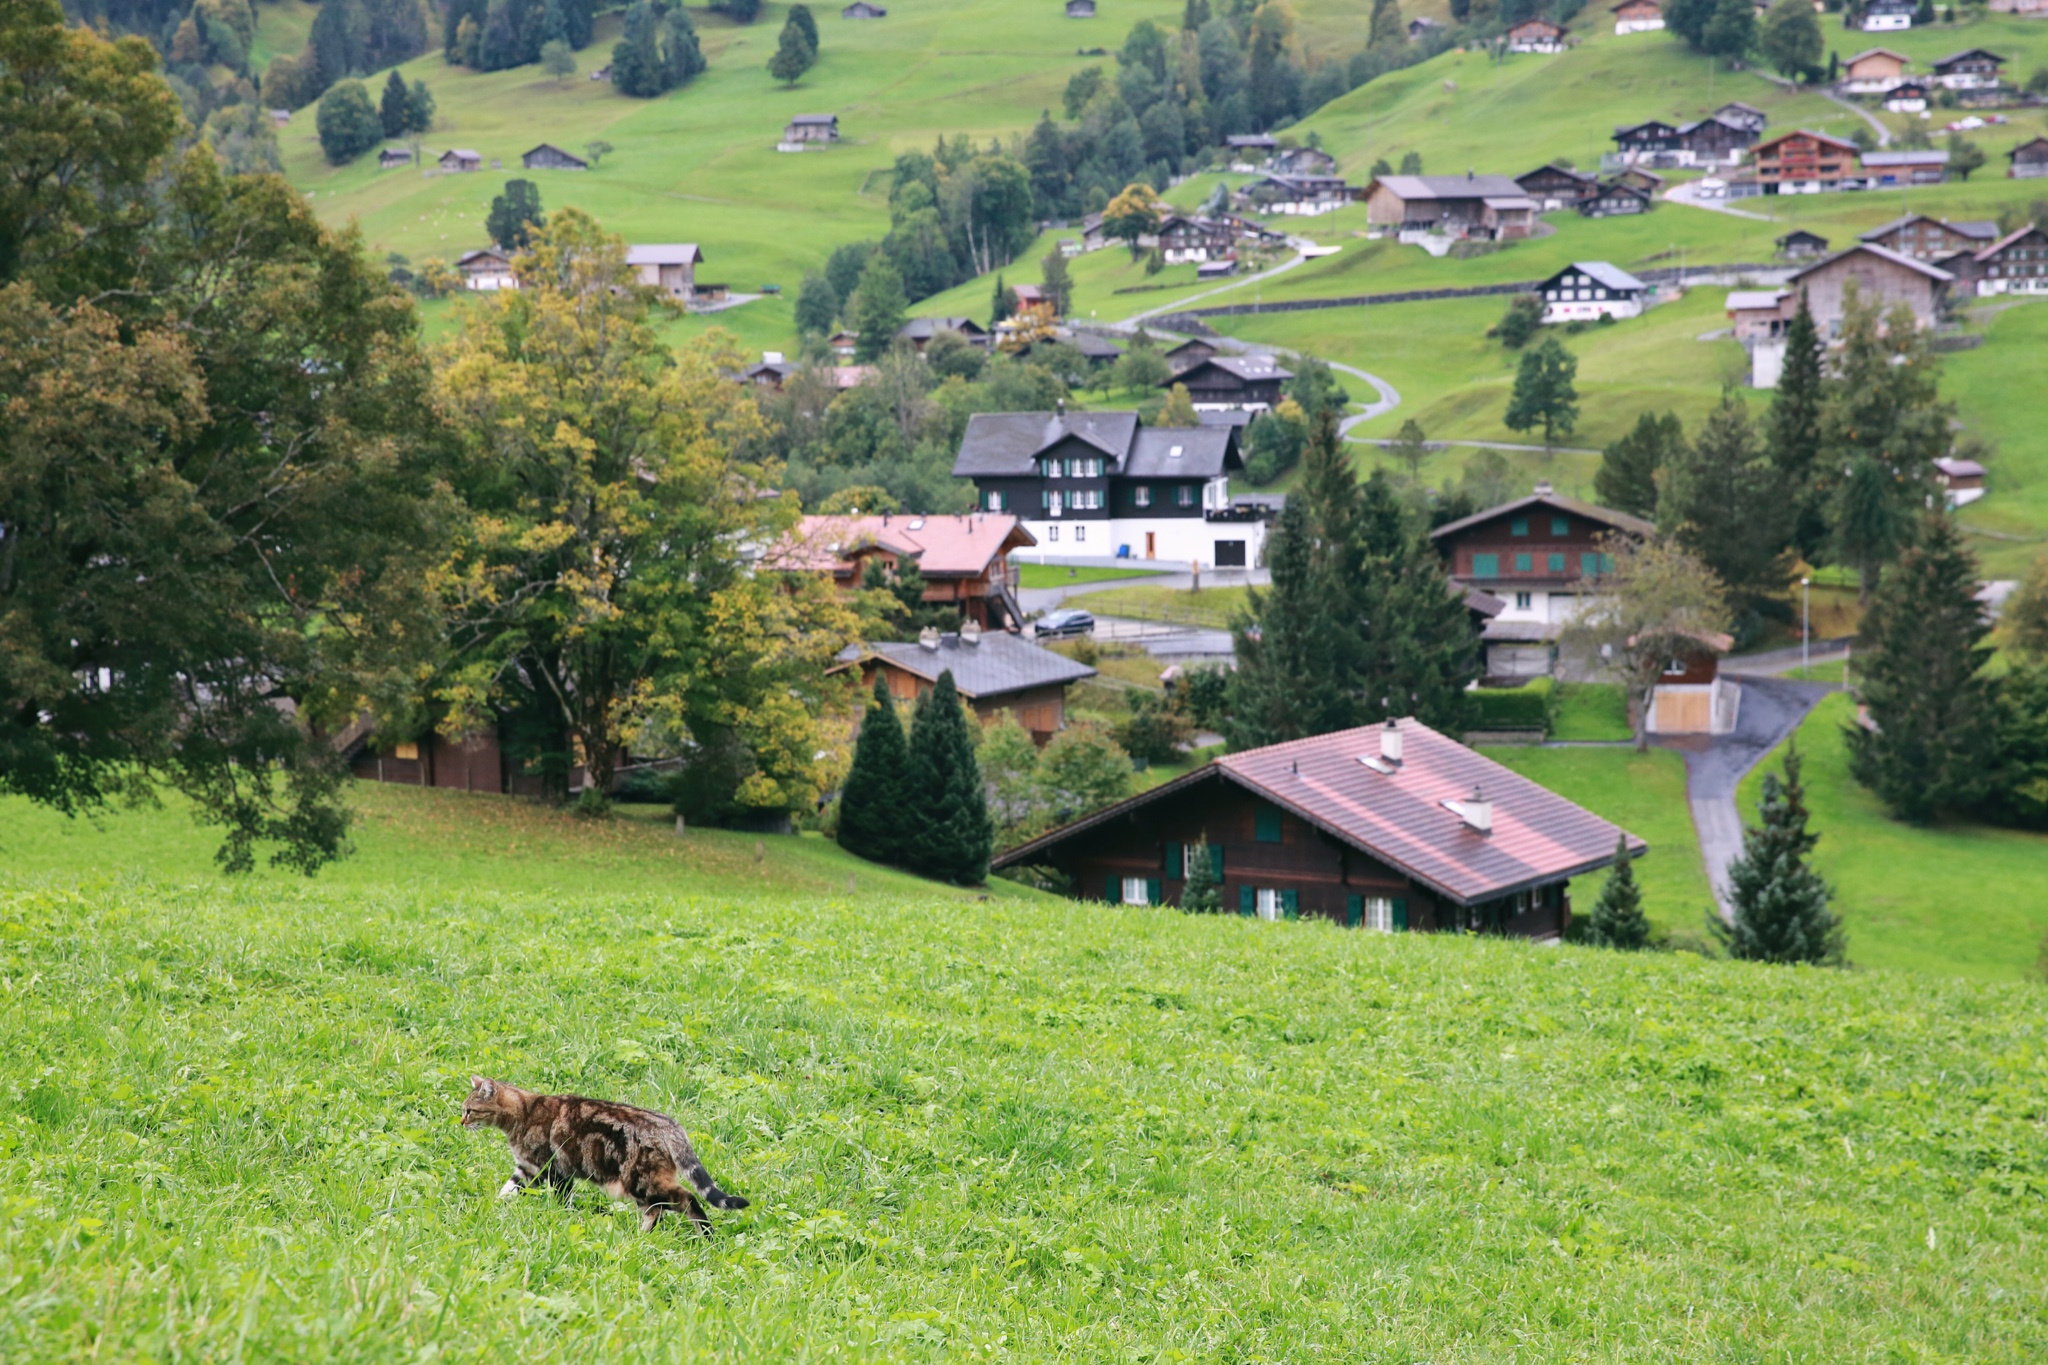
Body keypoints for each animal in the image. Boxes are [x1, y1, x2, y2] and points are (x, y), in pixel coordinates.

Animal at [460, 1080, 749, 1236]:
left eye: (469, 1110)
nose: (460, 1122)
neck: (523, 1113)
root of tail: (671, 1126)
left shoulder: (554, 1169)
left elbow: (562, 1200)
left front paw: (561, 1219)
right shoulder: (527, 1170)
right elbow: (507, 1190)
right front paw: (491, 1208)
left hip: (640, 1182)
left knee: (686, 1199)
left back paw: (707, 1236)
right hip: (642, 1186)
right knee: (657, 1211)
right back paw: (643, 1237)